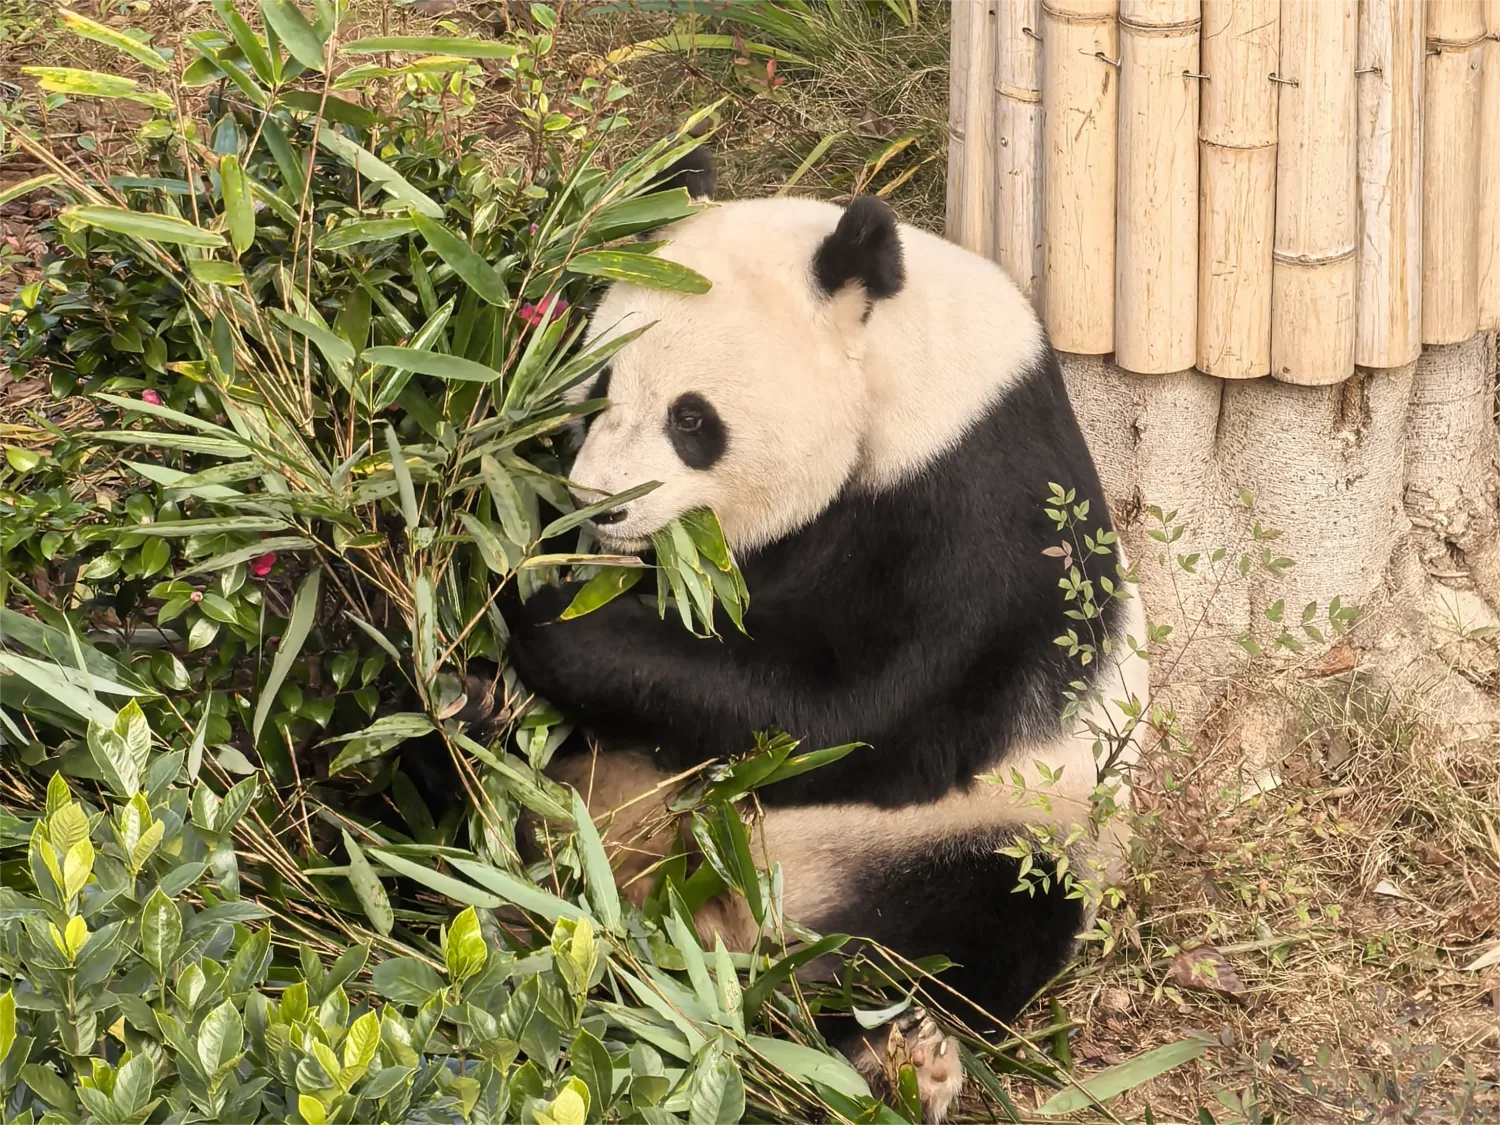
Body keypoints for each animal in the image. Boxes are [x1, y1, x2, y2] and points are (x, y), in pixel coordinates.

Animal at [490, 154, 1149, 1122]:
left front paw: (552, 621)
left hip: (1000, 827)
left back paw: (885, 1052)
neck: (906, 371)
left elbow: (855, 714)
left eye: (692, 419)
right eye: (598, 387)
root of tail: (704, 907)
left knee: (983, 921)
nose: (600, 504)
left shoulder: (980, 512)